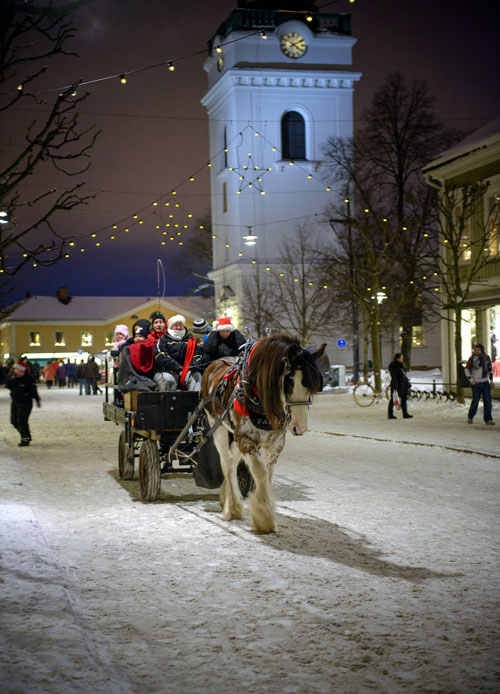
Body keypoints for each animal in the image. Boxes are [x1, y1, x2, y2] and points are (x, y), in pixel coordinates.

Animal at [201, 334, 326, 536]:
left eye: (315, 383)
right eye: (289, 381)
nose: (300, 427)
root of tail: (214, 364)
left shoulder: (275, 443)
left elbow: (267, 474)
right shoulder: (246, 439)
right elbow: (259, 472)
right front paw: (263, 518)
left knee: (233, 459)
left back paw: (226, 497)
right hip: (217, 425)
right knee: (227, 462)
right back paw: (232, 507)